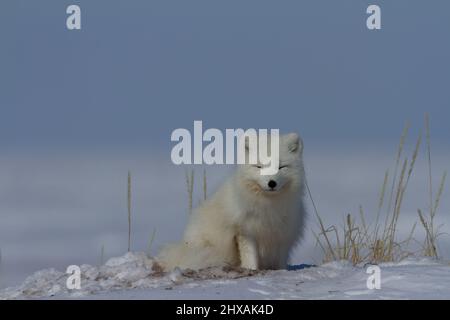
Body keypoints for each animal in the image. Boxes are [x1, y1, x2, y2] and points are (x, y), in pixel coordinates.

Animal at [156, 132, 308, 270]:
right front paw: (251, 269)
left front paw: (281, 270)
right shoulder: (245, 230)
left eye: (281, 167)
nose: (271, 183)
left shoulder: (283, 233)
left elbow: (280, 261)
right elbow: (250, 256)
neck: (268, 206)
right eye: (259, 166)